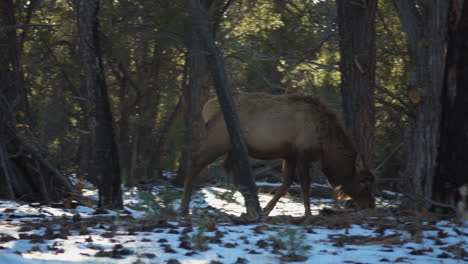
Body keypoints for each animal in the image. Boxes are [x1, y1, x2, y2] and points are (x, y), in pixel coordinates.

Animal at [180, 93, 376, 217]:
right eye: (364, 181)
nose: (371, 205)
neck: (326, 145)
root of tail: (208, 109)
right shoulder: (302, 151)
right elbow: (305, 184)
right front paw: (308, 214)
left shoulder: (289, 155)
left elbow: (286, 183)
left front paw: (267, 210)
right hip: (219, 140)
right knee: (196, 162)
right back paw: (184, 207)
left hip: (233, 148)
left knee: (229, 169)